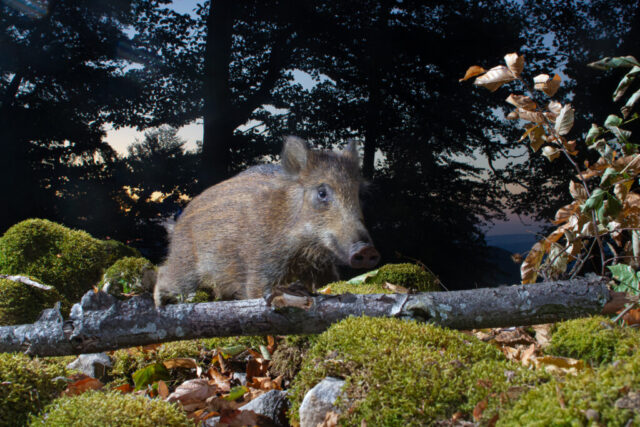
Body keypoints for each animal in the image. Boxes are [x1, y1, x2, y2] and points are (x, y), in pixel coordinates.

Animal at [153, 136, 380, 306]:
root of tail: (176, 225)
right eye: (322, 192)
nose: (367, 249)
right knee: (165, 273)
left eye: (360, 194)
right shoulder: (260, 268)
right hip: (184, 261)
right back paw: (160, 304)